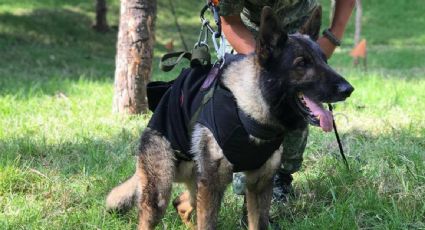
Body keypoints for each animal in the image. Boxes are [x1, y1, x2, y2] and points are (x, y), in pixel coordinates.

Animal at [107, 6, 352, 229]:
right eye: (302, 64)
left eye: (324, 60)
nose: (348, 89)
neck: (250, 112)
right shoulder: (213, 186)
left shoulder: (259, 186)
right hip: (162, 192)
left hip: (197, 186)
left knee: (181, 203)